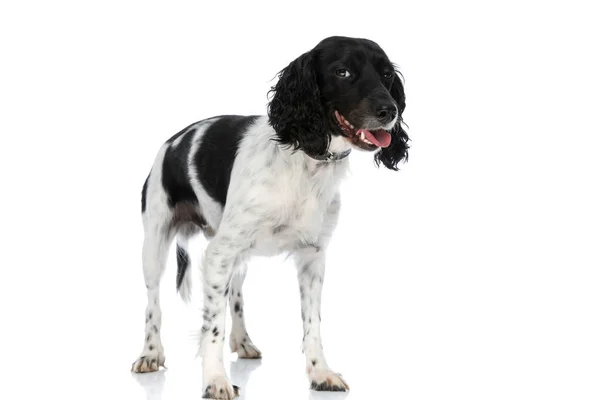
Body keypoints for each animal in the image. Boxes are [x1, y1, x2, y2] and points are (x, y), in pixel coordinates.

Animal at [132, 36, 408, 398]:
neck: (306, 161)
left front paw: (320, 372)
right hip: (155, 243)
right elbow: (212, 325)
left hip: (235, 258)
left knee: (234, 294)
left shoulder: (312, 256)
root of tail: (172, 141)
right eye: (343, 72)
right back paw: (151, 354)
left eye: (387, 74)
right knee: (153, 303)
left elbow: (312, 322)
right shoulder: (218, 254)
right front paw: (216, 381)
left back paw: (243, 342)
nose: (389, 111)